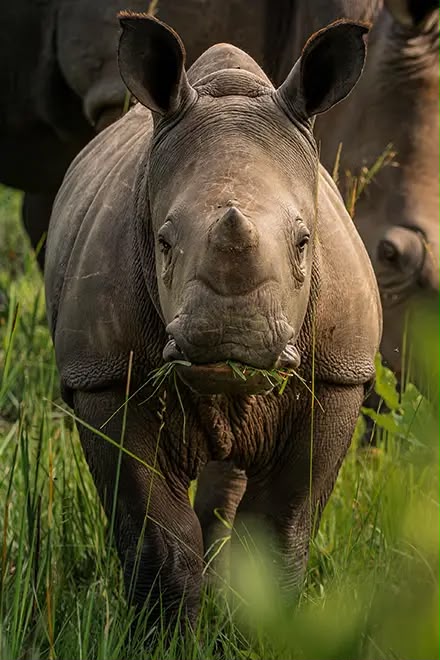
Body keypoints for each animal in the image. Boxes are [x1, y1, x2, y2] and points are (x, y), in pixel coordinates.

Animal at [45, 14, 381, 627]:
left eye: (304, 243)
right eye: (162, 243)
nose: (231, 337)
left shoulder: (337, 374)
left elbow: (279, 530)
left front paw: (250, 632)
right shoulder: (105, 374)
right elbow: (157, 539)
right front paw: (167, 635)